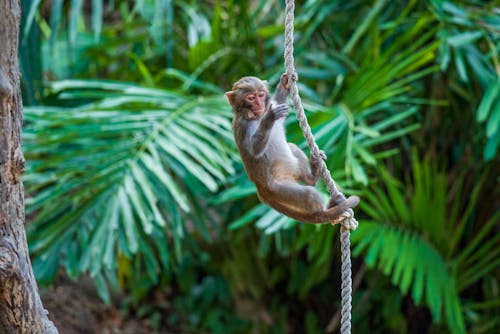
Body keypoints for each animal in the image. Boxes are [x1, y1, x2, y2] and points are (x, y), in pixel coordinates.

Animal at [227, 73, 360, 224]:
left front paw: (284, 82)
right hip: (279, 191)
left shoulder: (271, 105)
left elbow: (278, 102)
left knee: (292, 148)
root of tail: (261, 190)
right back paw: (325, 211)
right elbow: (254, 151)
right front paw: (269, 118)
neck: (256, 116)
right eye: (250, 98)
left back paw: (312, 176)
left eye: (260, 95)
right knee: (309, 195)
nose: (259, 104)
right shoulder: (243, 126)